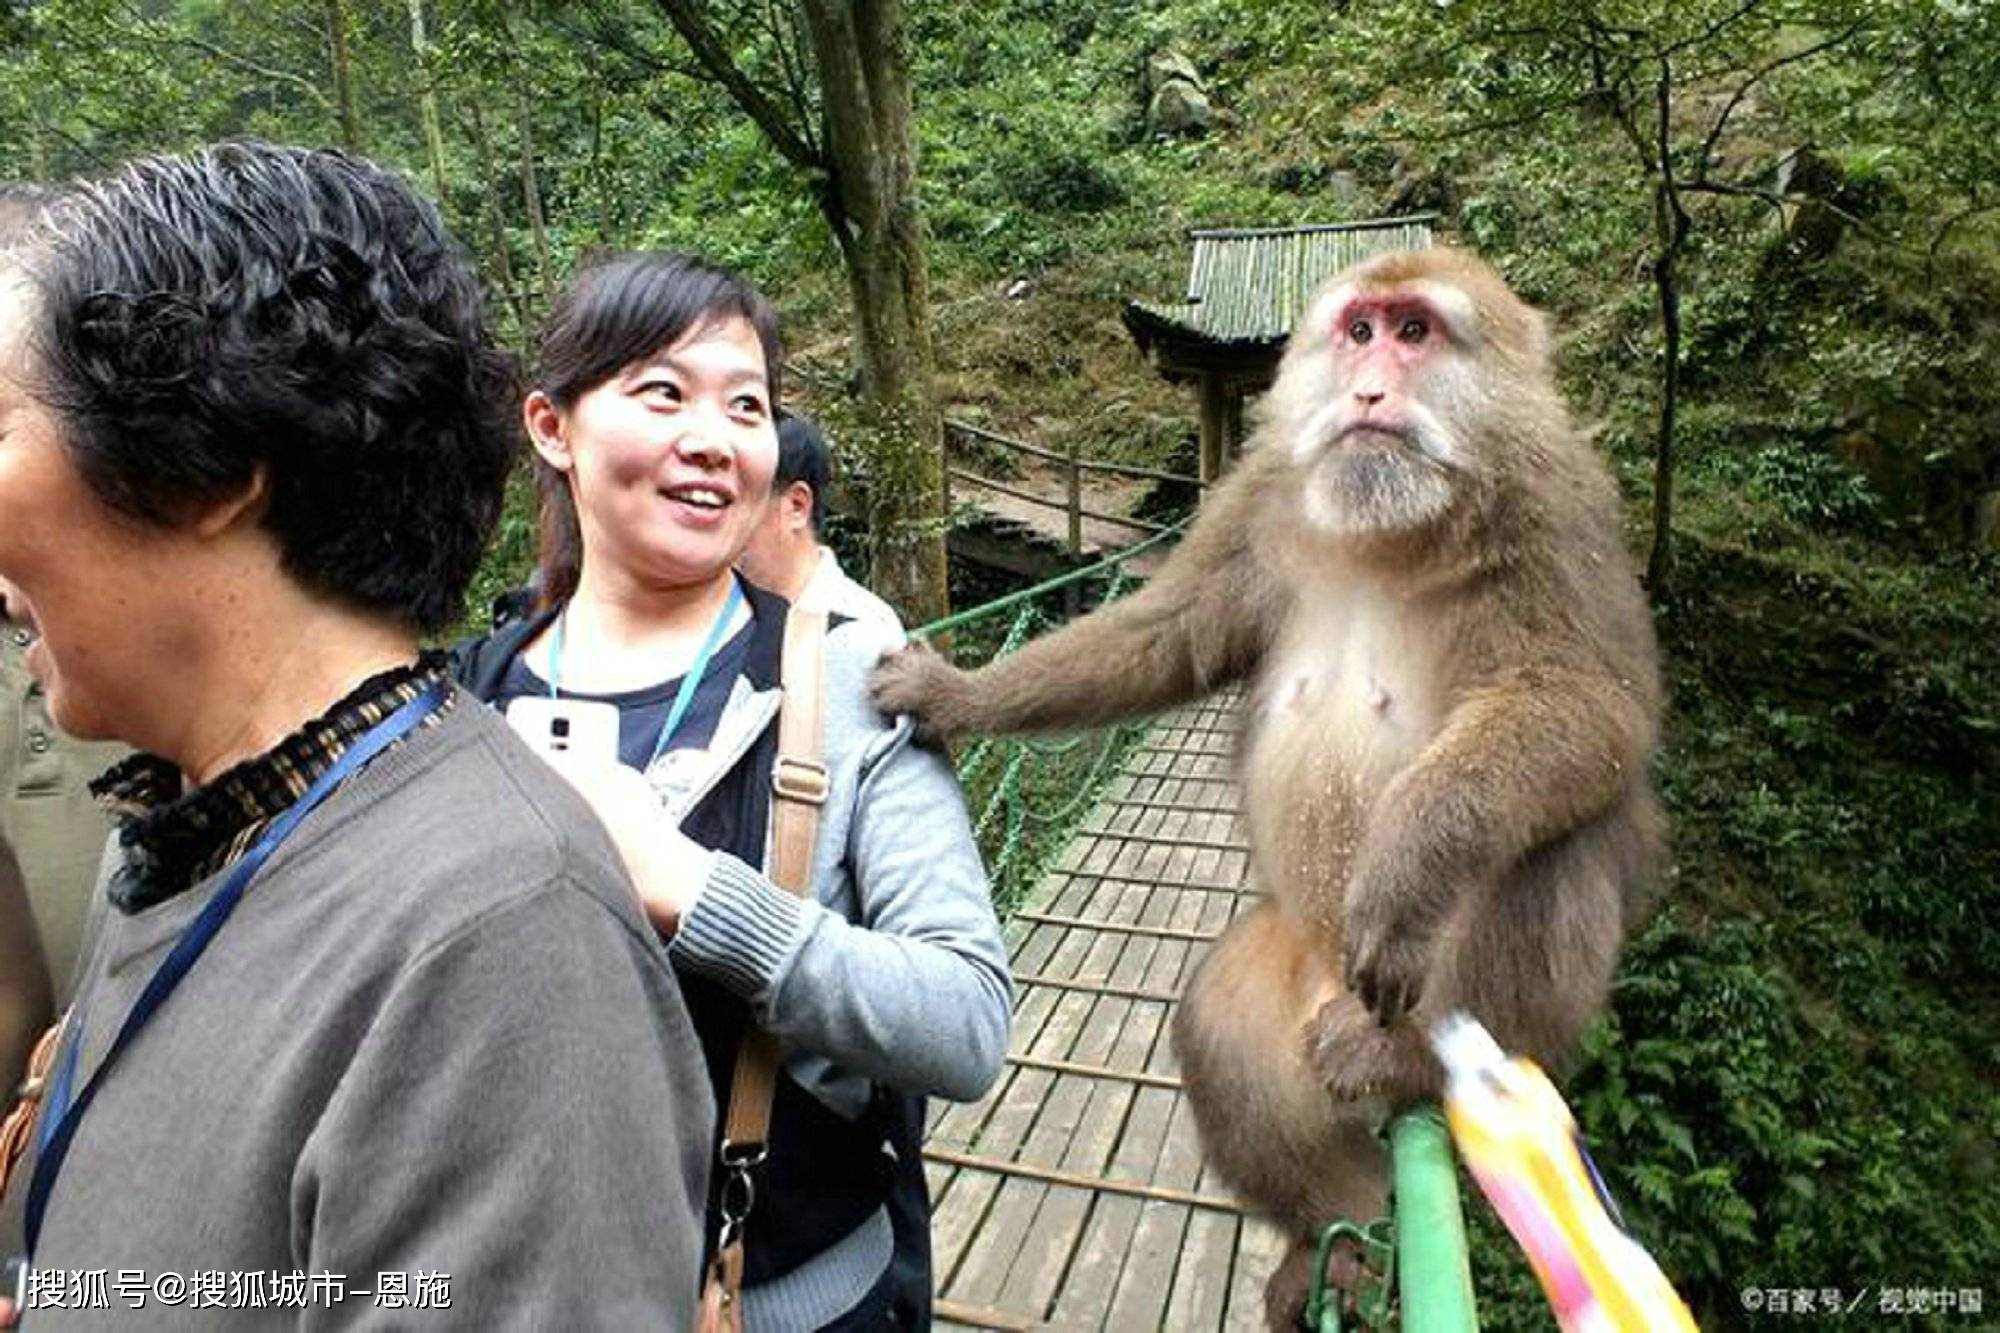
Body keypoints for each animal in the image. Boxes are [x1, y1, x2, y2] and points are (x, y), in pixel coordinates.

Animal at [876, 246, 1656, 1320]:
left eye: (1415, 333)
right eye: (1360, 331)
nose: (1368, 389)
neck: (1389, 524)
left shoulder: (1555, 507)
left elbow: (1588, 706)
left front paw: (1408, 860)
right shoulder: (1259, 498)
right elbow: (1164, 636)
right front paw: (956, 696)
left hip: (1429, 993)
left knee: (1554, 837)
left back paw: (1414, 1059)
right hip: (1298, 966)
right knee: (1221, 1024)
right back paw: (1333, 1236)